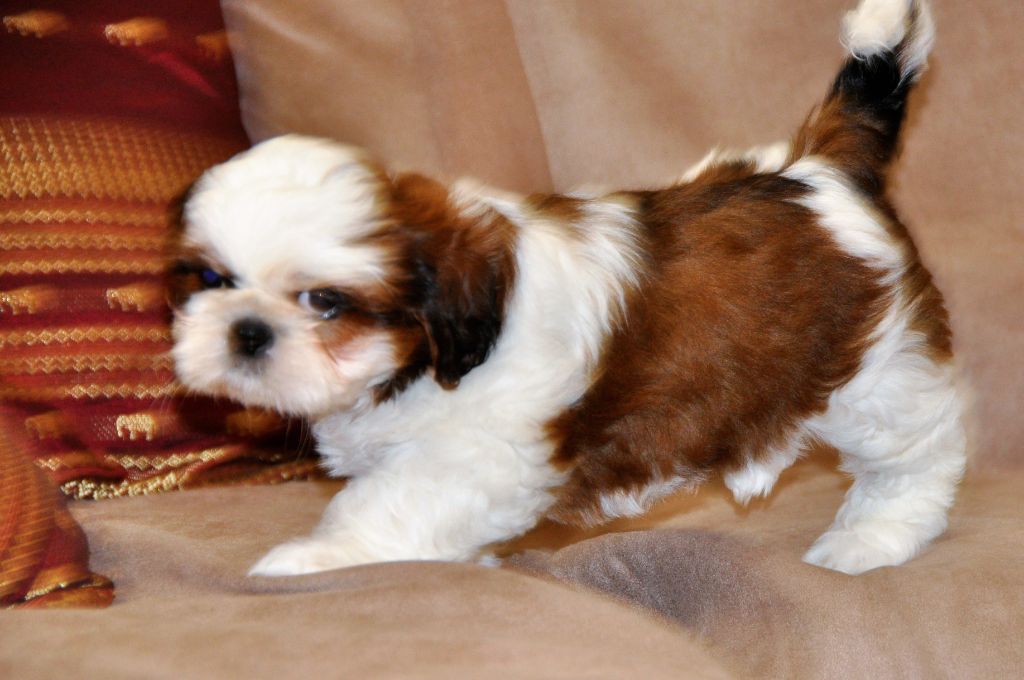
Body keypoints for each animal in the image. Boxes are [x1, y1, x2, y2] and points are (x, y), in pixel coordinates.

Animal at [169, 0, 966, 577]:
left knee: (921, 446)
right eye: (213, 279)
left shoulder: (479, 454)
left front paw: (318, 558)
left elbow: (389, 505)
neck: (430, 358)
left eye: (326, 303)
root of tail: (818, 169)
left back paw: (876, 537)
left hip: (874, 373)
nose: (246, 331)